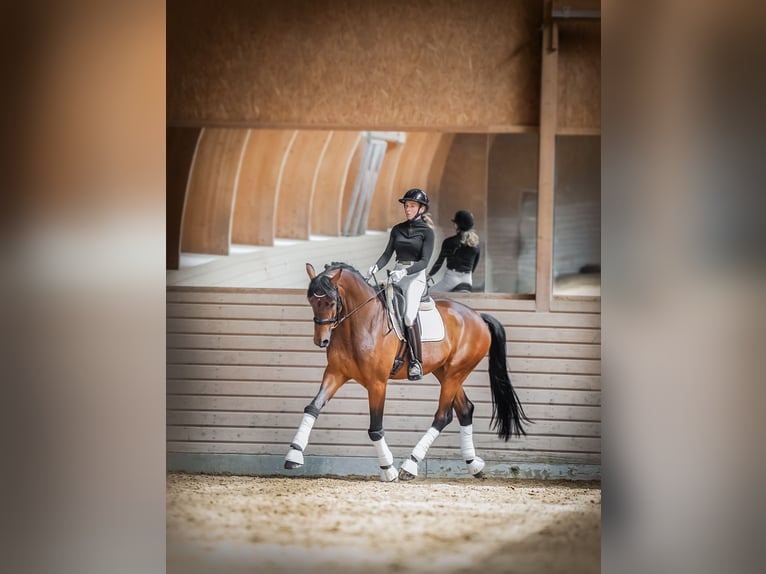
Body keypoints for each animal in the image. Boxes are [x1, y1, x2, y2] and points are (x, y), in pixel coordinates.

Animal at [284, 262, 531, 482]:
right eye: (311, 300)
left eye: (331, 301)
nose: (321, 340)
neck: (360, 323)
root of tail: (479, 317)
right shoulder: (335, 374)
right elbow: (312, 407)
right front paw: (294, 455)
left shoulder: (377, 383)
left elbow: (375, 428)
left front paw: (387, 470)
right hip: (446, 373)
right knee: (465, 410)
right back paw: (474, 465)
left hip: (455, 373)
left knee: (443, 416)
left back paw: (410, 466)